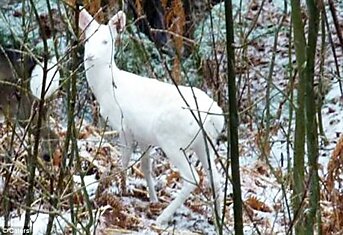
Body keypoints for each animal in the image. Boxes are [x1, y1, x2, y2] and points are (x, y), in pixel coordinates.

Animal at [79, 8, 227, 224]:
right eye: (87, 38)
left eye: (106, 41)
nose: (90, 56)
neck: (108, 87)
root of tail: (216, 117)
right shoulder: (144, 136)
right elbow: (145, 167)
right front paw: (152, 198)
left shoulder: (123, 125)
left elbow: (124, 161)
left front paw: (119, 190)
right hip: (204, 143)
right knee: (215, 178)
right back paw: (218, 221)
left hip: (172, 139)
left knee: (193, 178)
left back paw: (162, 219)